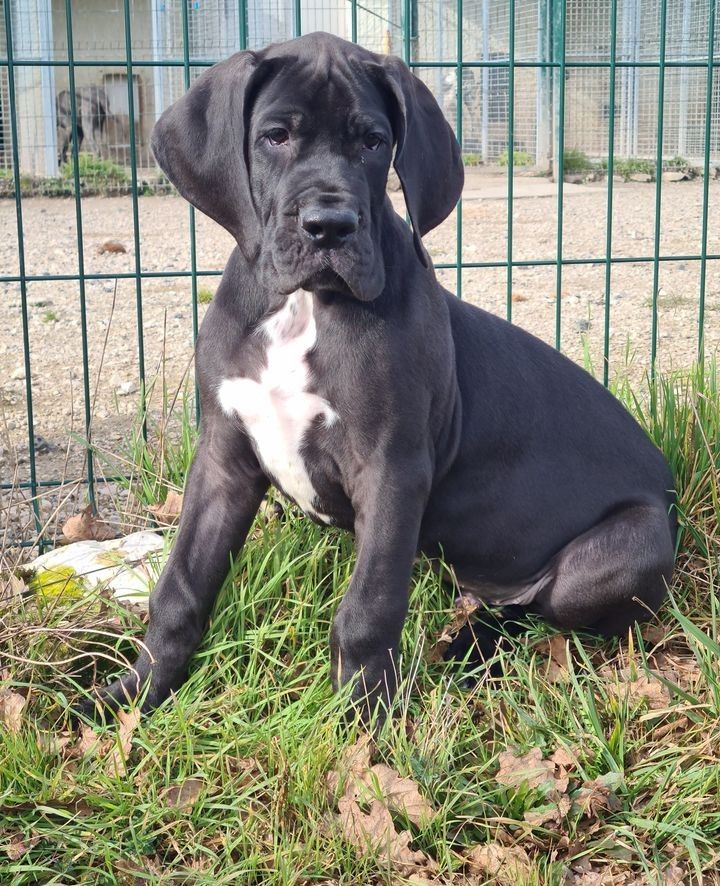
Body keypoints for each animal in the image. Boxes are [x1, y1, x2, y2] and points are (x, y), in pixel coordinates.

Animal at [79, 32, 676, 722]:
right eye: (275, 136)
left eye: (373, 141)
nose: (330, 226)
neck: (302, 307)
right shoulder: (224, 457)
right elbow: (179, 586)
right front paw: (133, 696)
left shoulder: (392, 467)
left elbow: (367, 610)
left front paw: (362, 729)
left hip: (622, 551)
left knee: (540, 607)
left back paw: (470, 649)